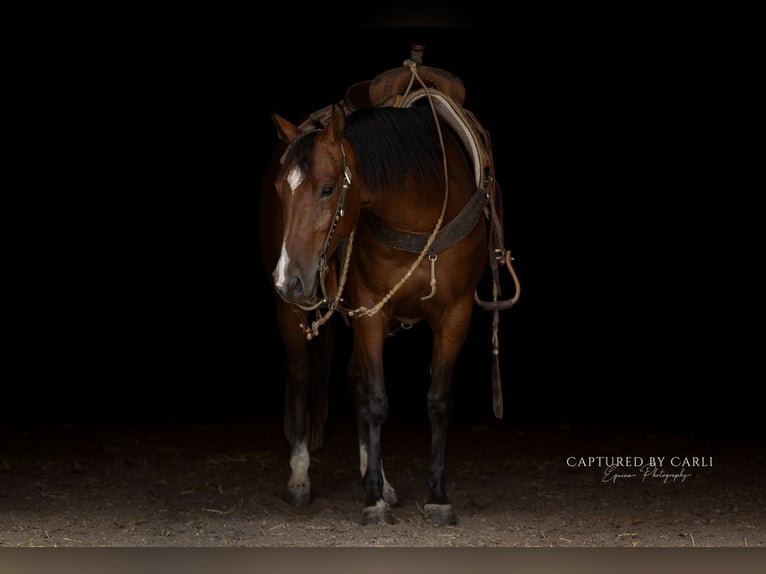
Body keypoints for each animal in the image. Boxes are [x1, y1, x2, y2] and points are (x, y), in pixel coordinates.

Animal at [260, 67, 518, 525]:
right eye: (280, 190)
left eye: (328, 189)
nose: (288, 278)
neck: (419, 208)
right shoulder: (370, 312)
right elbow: (377, 400)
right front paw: (373, 500)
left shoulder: (456, 314)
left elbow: (437, 400)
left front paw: (436, 495)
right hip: (292, 312)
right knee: (303, 375)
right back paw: (301, 478)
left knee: (353, 378)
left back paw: (379, 475)